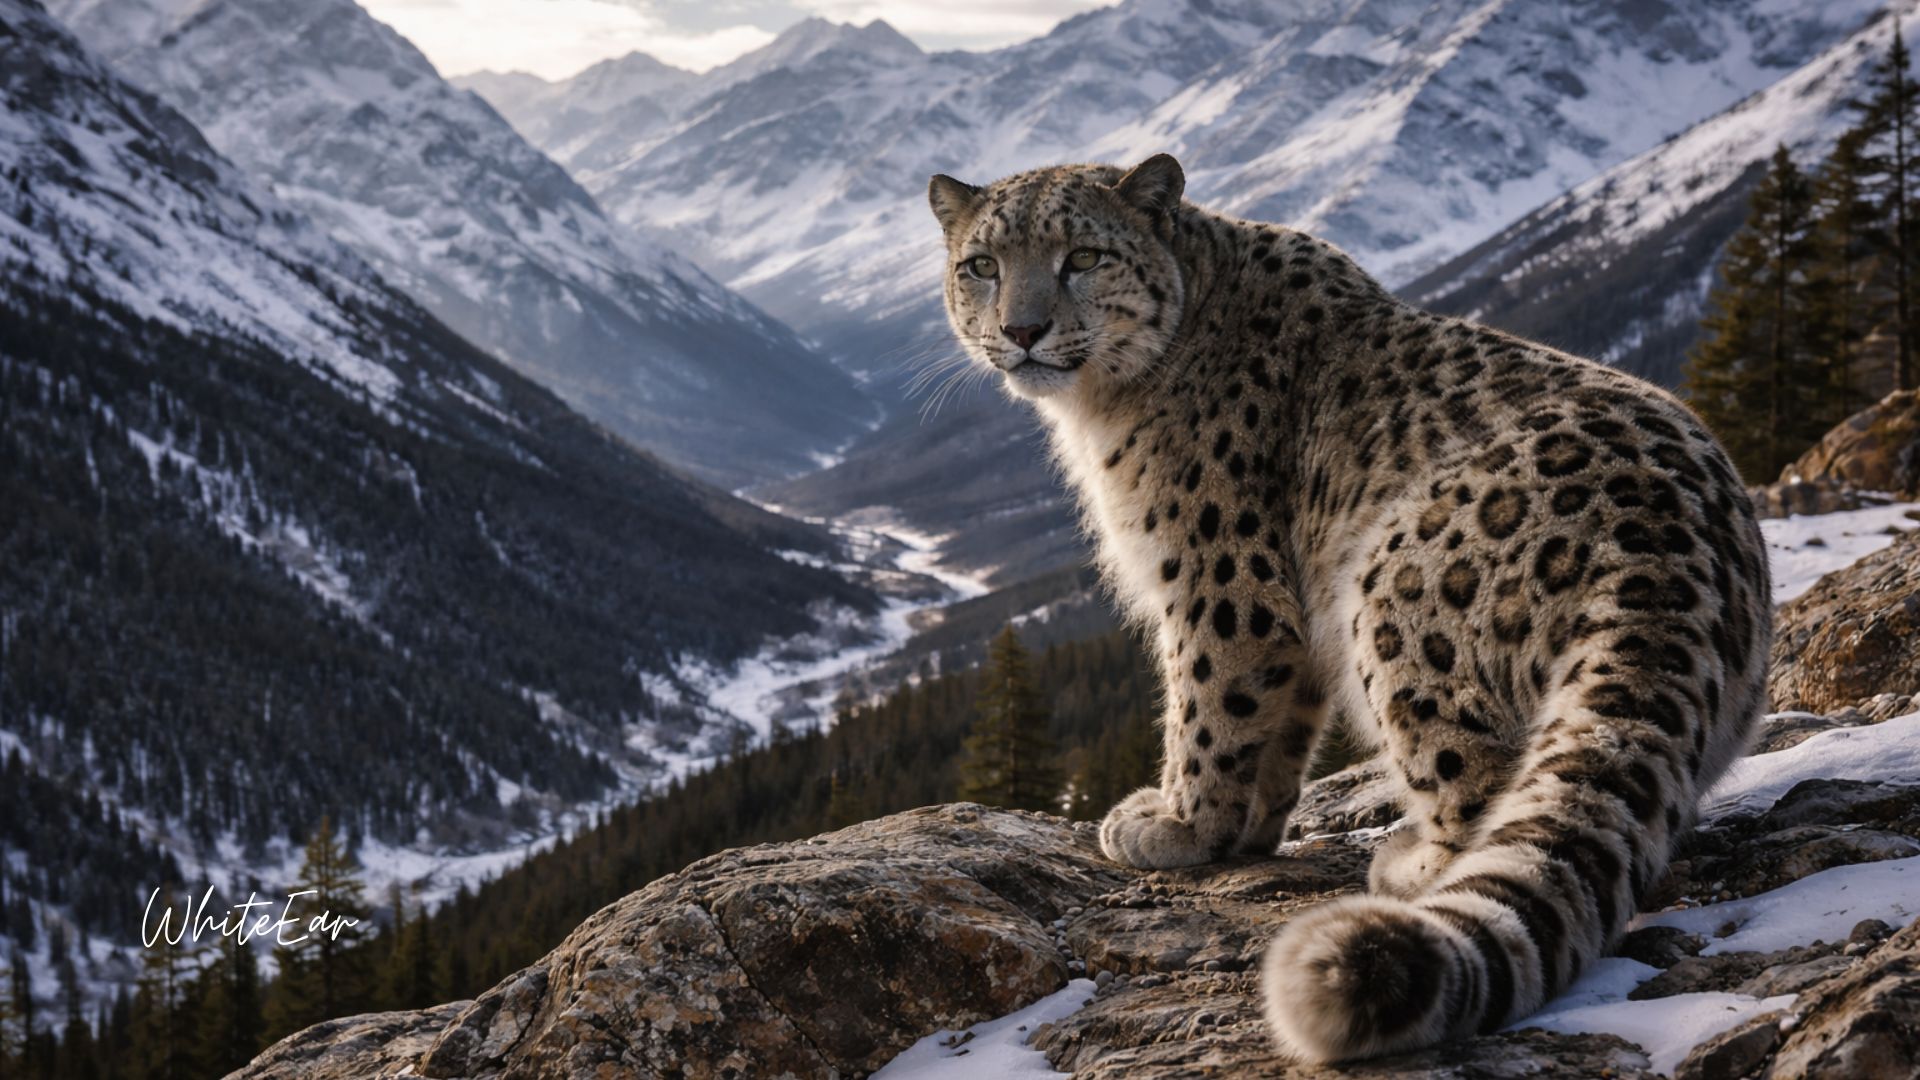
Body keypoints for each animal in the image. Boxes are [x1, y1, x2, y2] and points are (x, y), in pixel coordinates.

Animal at [925, 154, 1771, 1062]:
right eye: (983, 265)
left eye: (1082, 256)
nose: (1021, 330)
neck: (1103, 412)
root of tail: (1664, 550)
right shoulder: (1289, 619)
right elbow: (1278, 727)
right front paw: (1248, 829)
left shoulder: (1219, 579)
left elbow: (1206, 703)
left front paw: (1179, 826)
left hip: (1393, 593)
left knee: (1478, 781)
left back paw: (1409, 865)